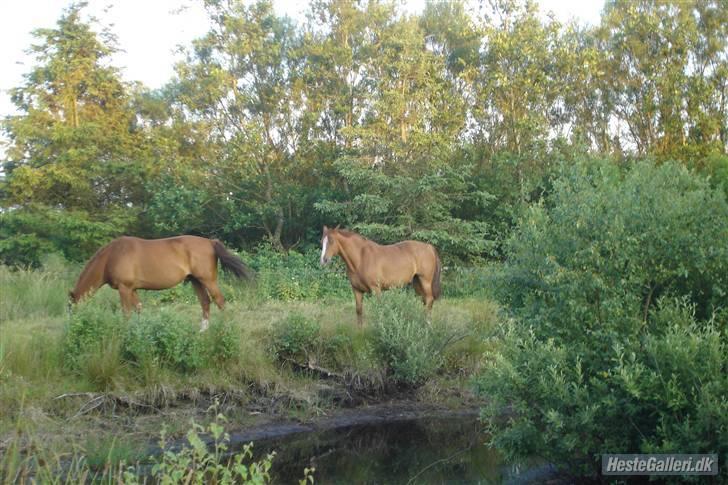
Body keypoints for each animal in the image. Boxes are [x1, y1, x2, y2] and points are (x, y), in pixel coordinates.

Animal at [69, 236, 250, 330]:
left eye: (71, 309)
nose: (71, 328)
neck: (111, 256)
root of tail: (210, 242)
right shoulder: (132, 289)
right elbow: (138, 309)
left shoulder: (124, 288)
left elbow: (126, 313)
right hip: (196, 281)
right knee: (205, 302)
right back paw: (202, 331)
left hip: (208, 280)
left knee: (220, 301)